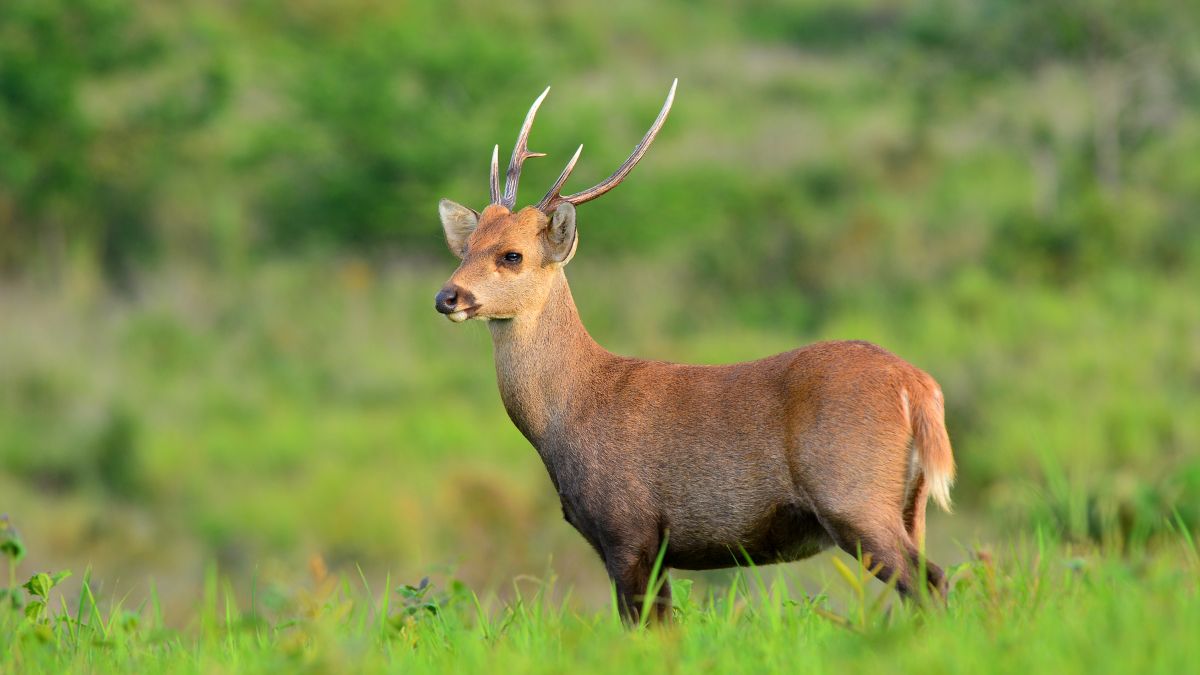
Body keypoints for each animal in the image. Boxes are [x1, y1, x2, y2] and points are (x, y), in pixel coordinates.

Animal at [433, 80, 956, 623]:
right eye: (465, 248)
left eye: (512, 255)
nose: (447, 297)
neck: (569, 414)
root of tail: (918, 387)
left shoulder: (628, 527)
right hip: (910, 504)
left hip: (853, 493)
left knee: (929, 580)